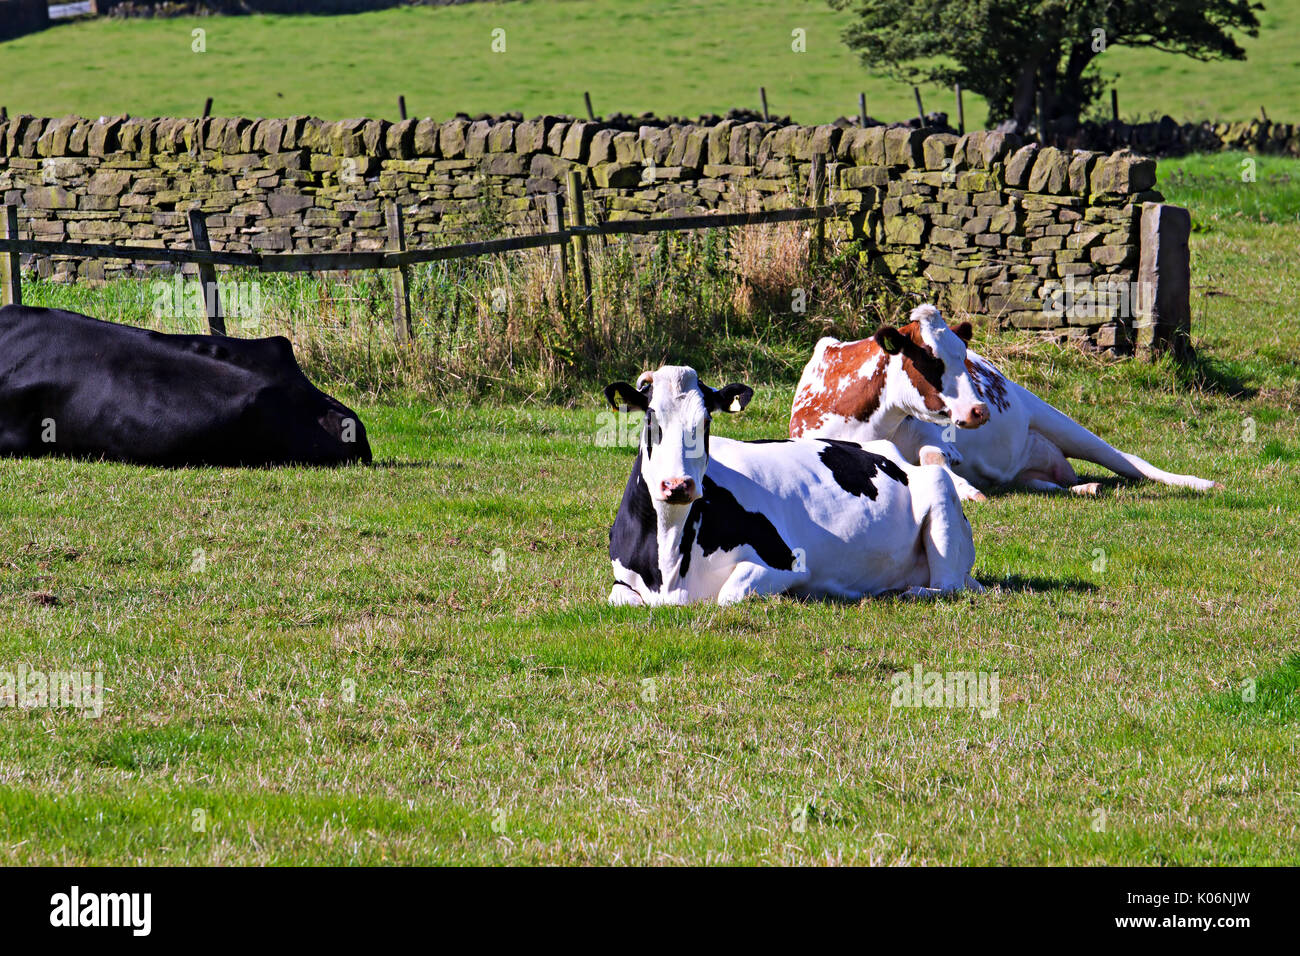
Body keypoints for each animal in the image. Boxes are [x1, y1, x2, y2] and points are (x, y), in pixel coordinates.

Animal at [604, 365, 981, 606]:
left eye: (706, 422)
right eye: (650, 421)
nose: (678, 485)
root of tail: (886, 450)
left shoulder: (787, 564)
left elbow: (728, 595)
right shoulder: (621, 581)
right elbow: (618, 598)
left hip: (940, 492)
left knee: (947, 586)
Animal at [789, 303, 1218, 498]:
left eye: (962, 355)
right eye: (931, 359)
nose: (978, 410)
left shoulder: (929, 433)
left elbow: (933, 455)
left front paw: (962, 486)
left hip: (1056, 420)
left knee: (1130, 461)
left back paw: (1197, 482)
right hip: (1028, 472)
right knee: (1047, 484)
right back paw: (1083, 488)